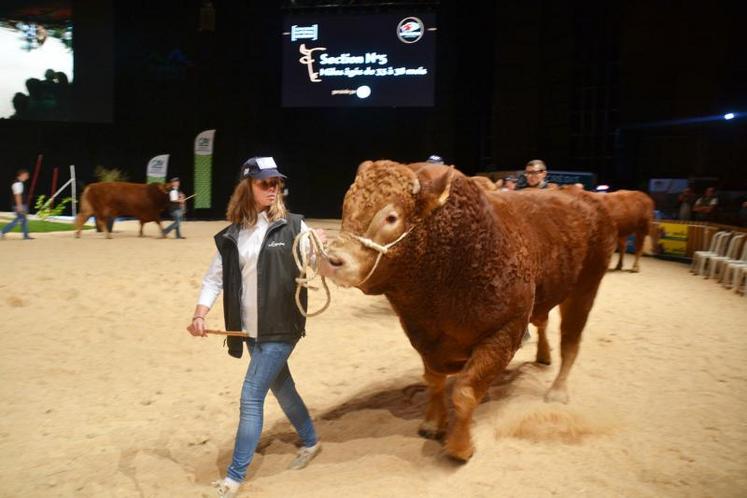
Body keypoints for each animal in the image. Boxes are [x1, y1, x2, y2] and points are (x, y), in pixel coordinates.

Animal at [318, 161, 616, 462]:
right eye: (346, 205)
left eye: (391, 217)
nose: (332, 260)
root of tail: (585, 198)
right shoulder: (423, 335)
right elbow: (434, 381)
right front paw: (432, 424)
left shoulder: (503, 333)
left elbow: (465, 391)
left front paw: (460, 447)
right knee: (543, 321)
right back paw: (543, 356)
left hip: (585, 289)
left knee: (570, 343)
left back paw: (557, 391)